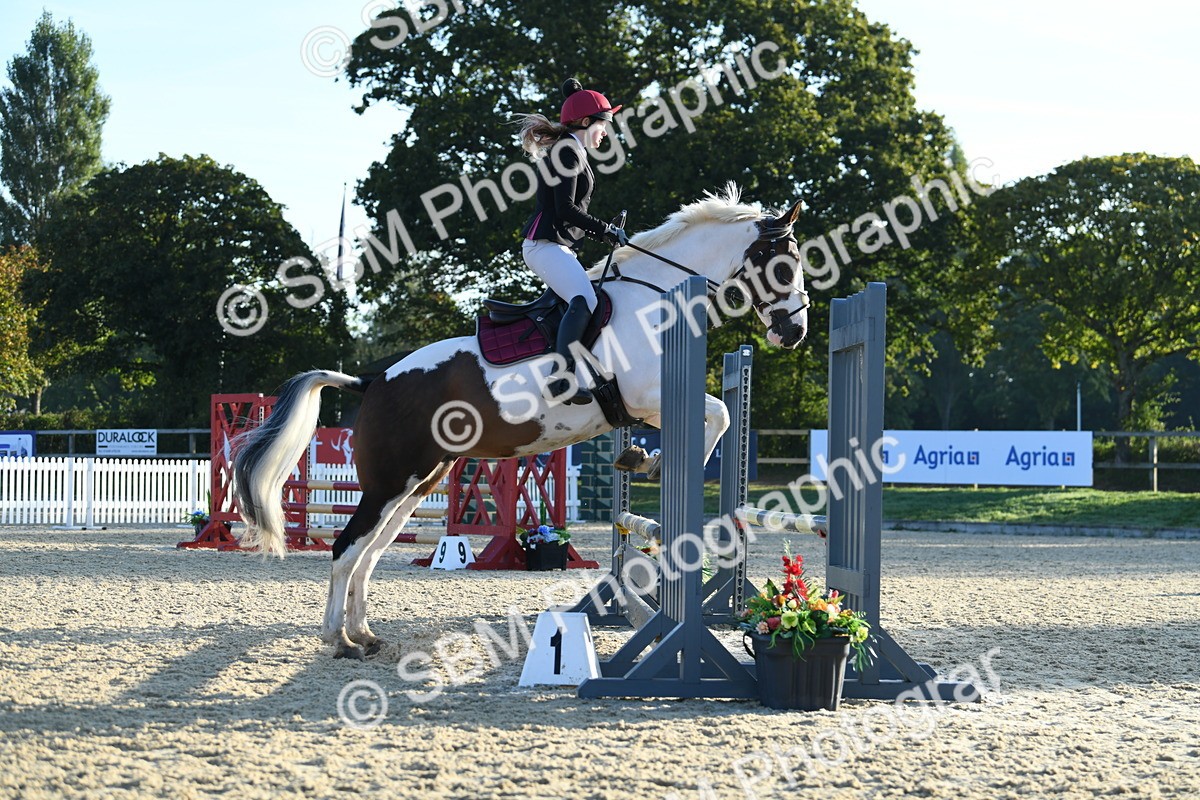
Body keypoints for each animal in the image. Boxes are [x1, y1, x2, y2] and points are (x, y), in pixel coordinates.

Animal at [232, 183, 810, 659]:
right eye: (786, 263)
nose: (795, 333)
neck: (654, 297)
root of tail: (373, 381)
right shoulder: (647, 397)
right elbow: (720, 413)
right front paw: (655, 462)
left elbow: (715, 416)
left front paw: (642, 459)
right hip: (390, 481)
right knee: (346, 546)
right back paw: (339, 639)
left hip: (420, 483)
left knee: (369, 553)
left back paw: (364, 633)